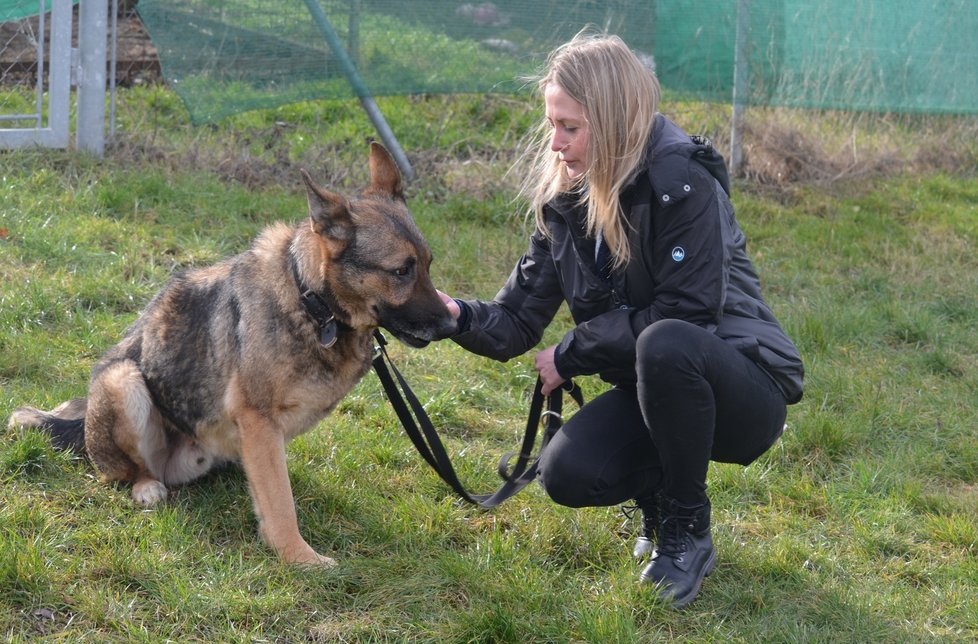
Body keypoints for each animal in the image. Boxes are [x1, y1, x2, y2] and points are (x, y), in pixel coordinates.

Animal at [7, 143, 458, 568]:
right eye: (401, 271)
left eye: (428, 265)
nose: (452, 324)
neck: (310, 299)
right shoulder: (258, 418)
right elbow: (280, 504)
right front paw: (298, 557)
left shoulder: (262, 430)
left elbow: (273, 488)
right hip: (123, 381)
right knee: (123, 472)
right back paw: (146, 487)